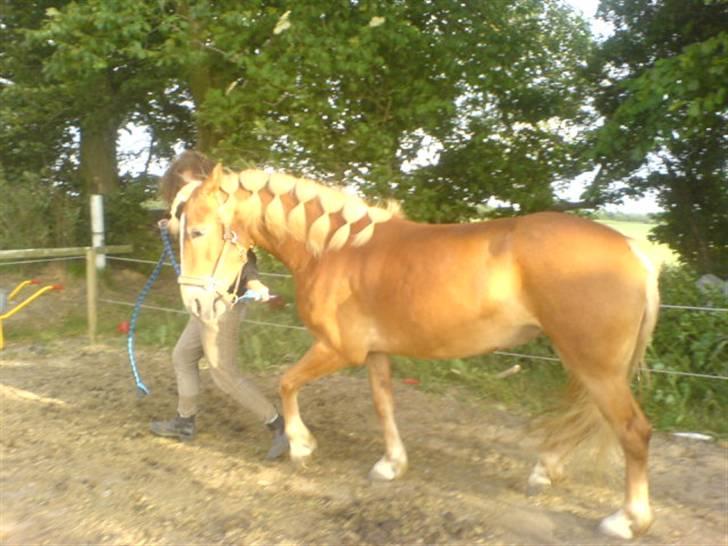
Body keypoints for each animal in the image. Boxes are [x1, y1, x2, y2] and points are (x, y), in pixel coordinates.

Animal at [175, 162, 660, 536]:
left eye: (197, 231)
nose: (195, 302)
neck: (334, 250)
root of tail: (633, 250)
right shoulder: (375, 354)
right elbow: (384, 404)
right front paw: (391, 465)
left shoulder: (338, 349)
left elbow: (287, 383)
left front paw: (300, 446)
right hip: (587, 363)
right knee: (588, 419)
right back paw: (546, 471)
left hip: (596, 367)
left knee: (633, 431)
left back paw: (628, 520)